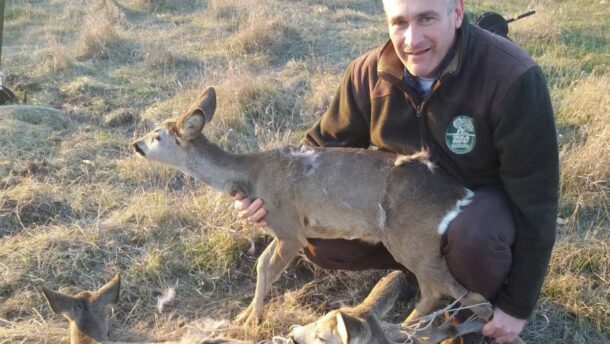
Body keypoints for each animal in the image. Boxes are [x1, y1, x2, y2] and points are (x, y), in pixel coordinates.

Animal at [131, 86, 492, 328]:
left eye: (157, 136)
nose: (136, 145)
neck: (251, 175)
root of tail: (458, 193)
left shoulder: (290, 227)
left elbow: (265, 267)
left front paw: (251, 321)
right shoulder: (281, 228)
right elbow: (261, 265)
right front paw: (245, 314)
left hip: (412, 239)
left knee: (467, 295)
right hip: (415, 245)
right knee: (436, 291)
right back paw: (405, 328)